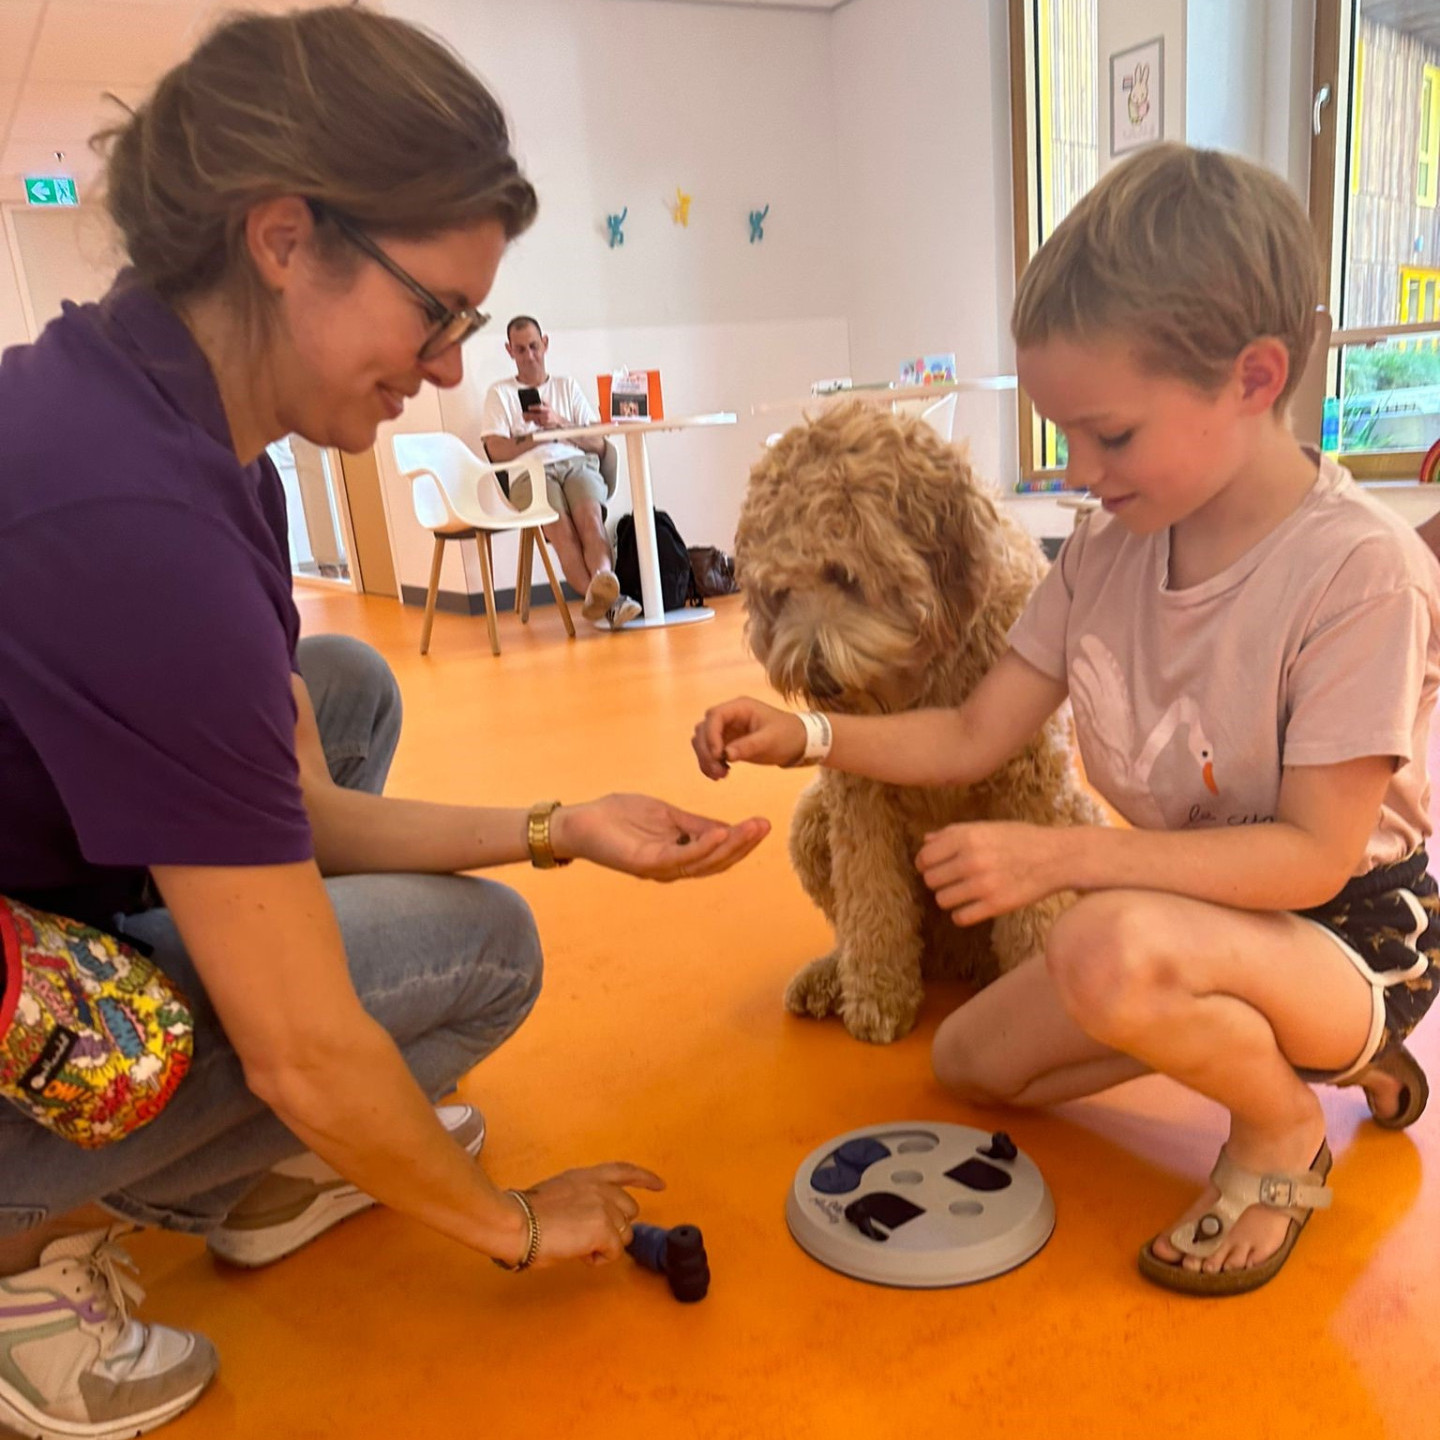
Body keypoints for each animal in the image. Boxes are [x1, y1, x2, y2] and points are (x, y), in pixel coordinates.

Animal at [743, 400, 1100, 1042]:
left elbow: (1033, 907)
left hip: (1081, 817)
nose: (817, 680)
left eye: (844, 575)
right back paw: (833, 973)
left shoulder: (1030, 783)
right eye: (779, 591)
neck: (924, 674)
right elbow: (870, 899)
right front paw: (878, 996)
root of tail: (956, 960)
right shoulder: (856, 796)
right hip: (812, 820)